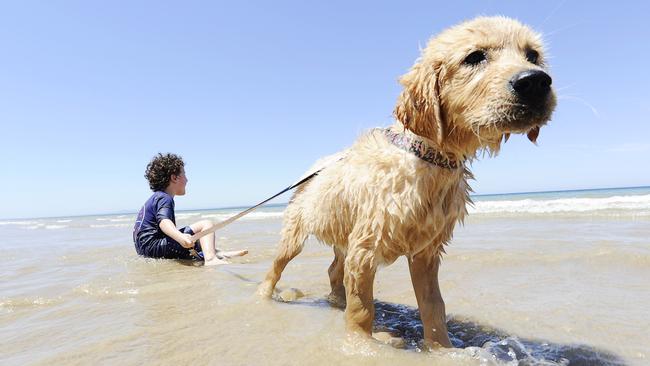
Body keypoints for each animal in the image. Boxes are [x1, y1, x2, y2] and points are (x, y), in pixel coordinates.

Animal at [256, 16, 556, 348]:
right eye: (474, 57)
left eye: (532, 56)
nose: (536, 82)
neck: (429, 158)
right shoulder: (365, 247)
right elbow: (362, 308)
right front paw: (361, 345)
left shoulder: (426, 252)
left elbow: (433, 306)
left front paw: (441, 349)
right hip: (295, 235)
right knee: (277, 267)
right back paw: (264, 296)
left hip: (343, 236)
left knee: (334, 269)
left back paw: (336, 301)